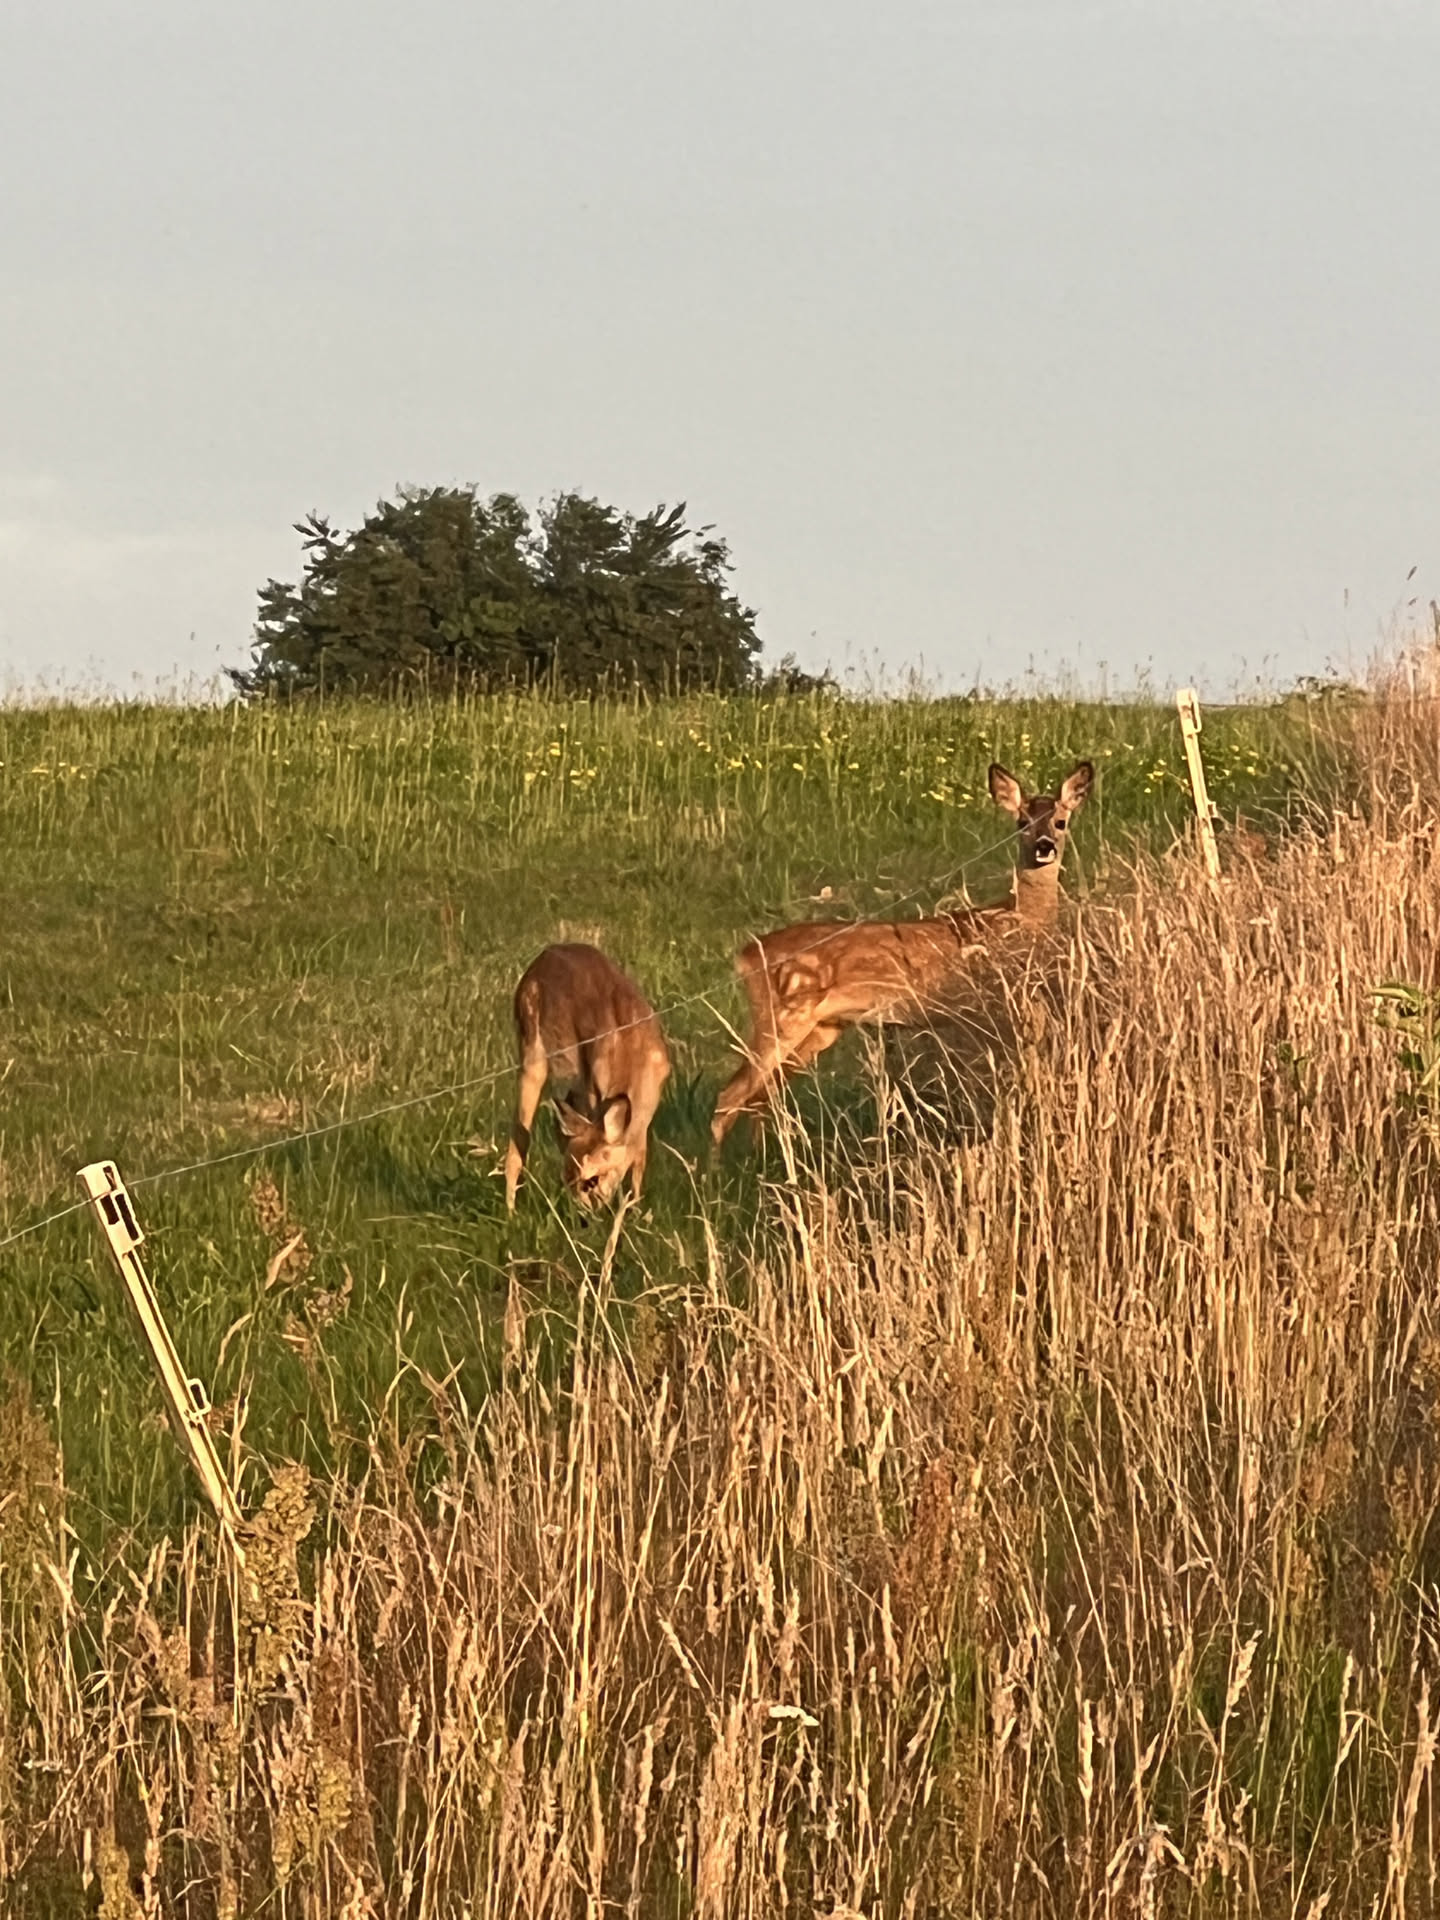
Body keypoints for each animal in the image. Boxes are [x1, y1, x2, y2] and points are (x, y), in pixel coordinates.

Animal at [505, 943, 671, 1211]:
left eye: (593, 1179)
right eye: (568, 1177)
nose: (583, 1214)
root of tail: (543, 956)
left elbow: (638, 1161)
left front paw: (635, 1211)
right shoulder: (594, 1093)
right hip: (533, 1055)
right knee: (517, 1145)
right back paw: (510, 1213)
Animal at [709, 760, 1093, 1145]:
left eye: (1060, 821)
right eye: (1022, 823)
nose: (1044, 846)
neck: (1020, 919)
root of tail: (745, 956)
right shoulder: (990, 1003)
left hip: (822, 1026)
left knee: (761, 1096)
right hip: (783, 1016)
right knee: (730, 1096)